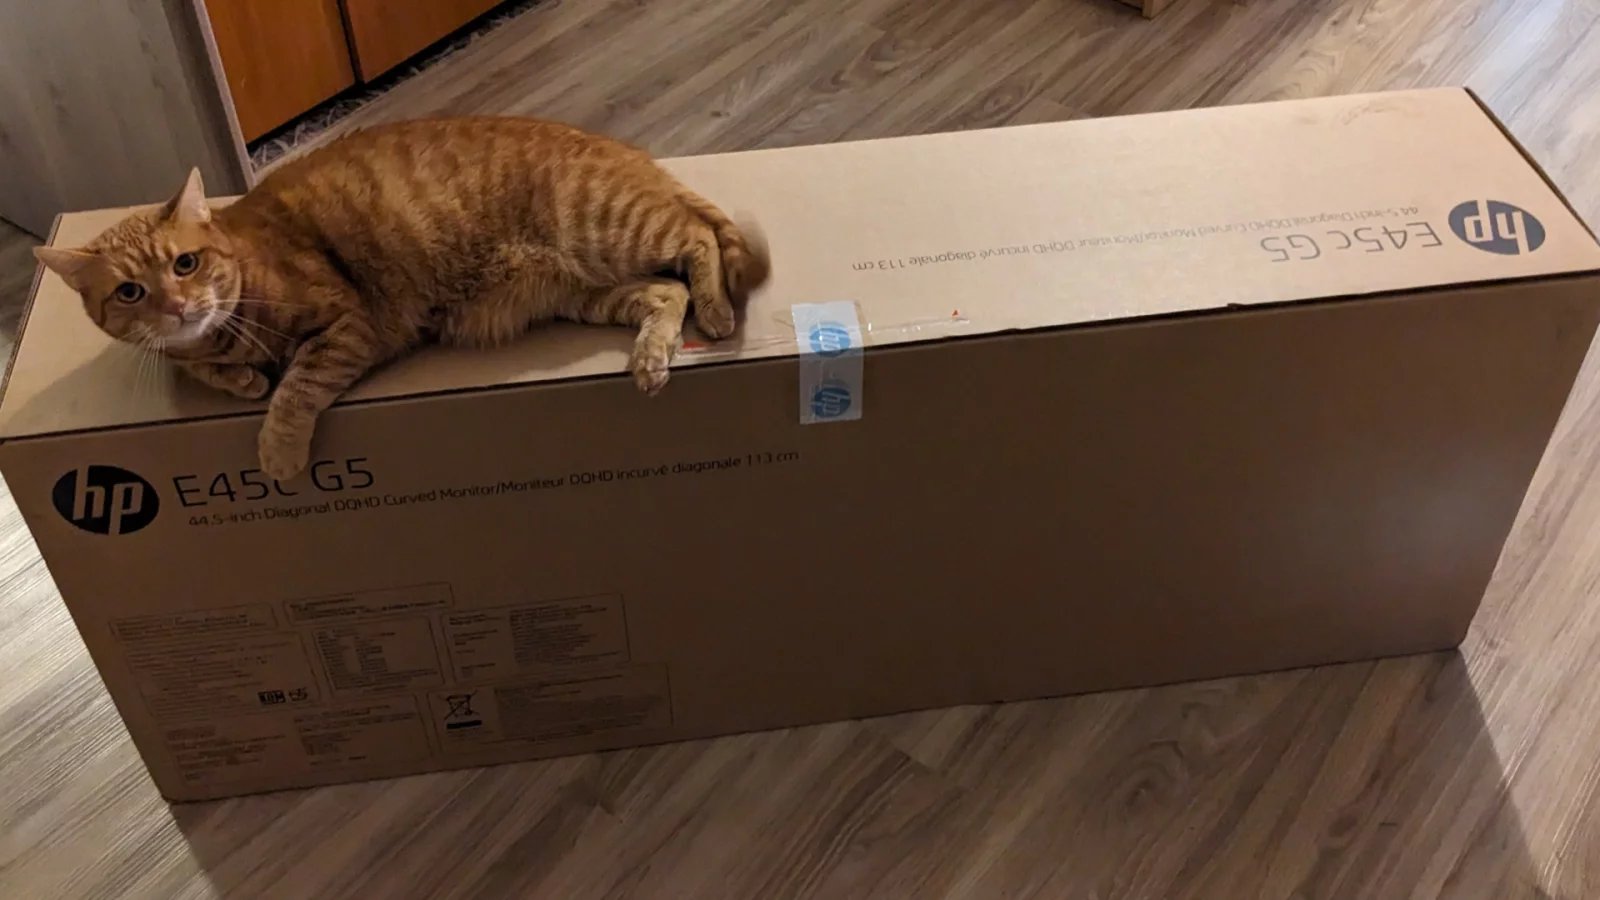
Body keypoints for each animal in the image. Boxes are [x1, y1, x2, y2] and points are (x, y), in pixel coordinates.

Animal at [33, 117, 769, 481]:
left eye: (185, 264)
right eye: (131, 292)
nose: (176, 307)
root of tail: (632, 153)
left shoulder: (349, 325)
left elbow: (295, 387)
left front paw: (277, 449)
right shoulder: (190, 352)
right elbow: (208, 372)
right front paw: (235, 376)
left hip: (609, 229)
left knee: (699, 237)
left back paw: (716, 311)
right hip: (589, 289)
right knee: (665, 290)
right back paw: (650, 360)